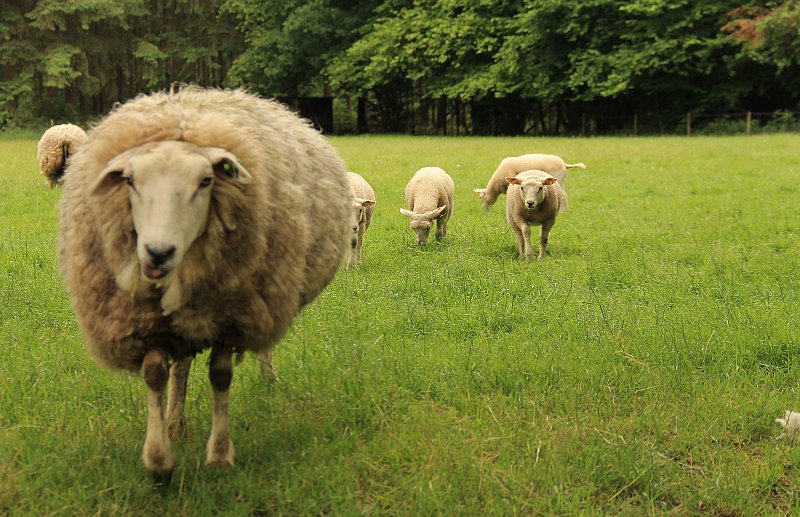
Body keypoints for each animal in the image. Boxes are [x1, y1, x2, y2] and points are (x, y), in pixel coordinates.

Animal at [57, 85, 352, 480]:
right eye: (130, 180)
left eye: (206, 181)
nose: (158, 253)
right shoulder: (144, 321)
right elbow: (155, 375)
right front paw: (159, 459)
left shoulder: (232, 316)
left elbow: (220, 376)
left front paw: (220, 455)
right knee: (181, 365)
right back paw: (174, 422)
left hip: (270, 294)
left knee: (262, 344)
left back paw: (267, 376)